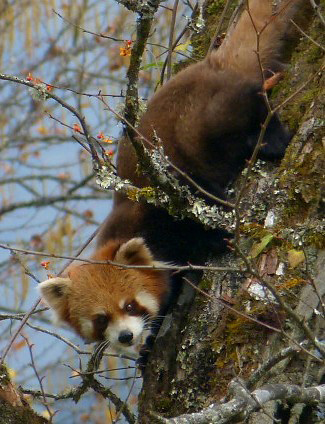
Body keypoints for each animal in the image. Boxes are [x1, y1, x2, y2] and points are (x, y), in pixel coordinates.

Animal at [38, 0, 304, 354]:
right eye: (101, 320)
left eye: (130, 305)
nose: (126, 336)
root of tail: (211, 63)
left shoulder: (163, 199)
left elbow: (199, 200)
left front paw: (218, 232)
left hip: (209, 117)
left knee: (249, 106)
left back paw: (273, 139)